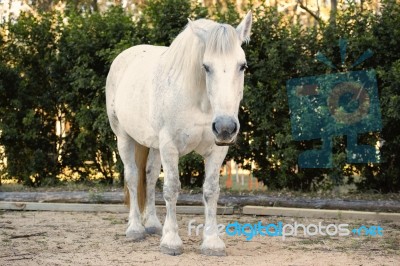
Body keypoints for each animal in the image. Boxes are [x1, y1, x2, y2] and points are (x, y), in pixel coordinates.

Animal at [104, 11, 252, 256]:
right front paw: (171, 241)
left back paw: (153, 224)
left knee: (149, 176)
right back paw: (135, 228)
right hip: (124, 138)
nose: (225, 127)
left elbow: (211, 190)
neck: (199, 100)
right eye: (206, 66)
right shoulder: (170, 146)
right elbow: (172, 188)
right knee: (133, 177)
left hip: (154, 146)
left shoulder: (216, 151)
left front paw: (212, 242)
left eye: (242, 66)